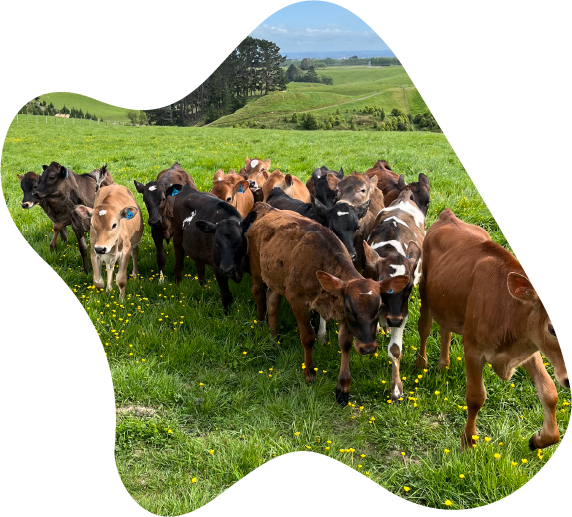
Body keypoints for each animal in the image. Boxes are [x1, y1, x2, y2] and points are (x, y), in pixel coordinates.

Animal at [248, 204, 408, 406]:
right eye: (350, 308)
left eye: (378, 308)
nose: (368, 348)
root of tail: (267, 209)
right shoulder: (297, 300)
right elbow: (308, 337)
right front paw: (309, 373)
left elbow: (345, 343)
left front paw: (343, 388)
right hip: (255, 267)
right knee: (258, 292)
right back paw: (261, 323)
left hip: (277, 278)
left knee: (272, 301)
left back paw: (273, 337)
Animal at [366, 189, 424, 404]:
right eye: (382, 284)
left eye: (409, 287)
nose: (393, 320)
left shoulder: (403, 313)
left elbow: (395, 350)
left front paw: (397, 389)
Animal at [416, 208, 568, 450]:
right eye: (552, 329)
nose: (569, 380)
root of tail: (448, 215)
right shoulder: (473, 350)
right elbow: (476, 397)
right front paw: (468, 442)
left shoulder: (529, 346)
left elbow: (549, 392)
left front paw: (538, 439)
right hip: (424, 291)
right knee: (425, 327)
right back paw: (421, 364)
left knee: (445, 330)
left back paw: (443, 365)